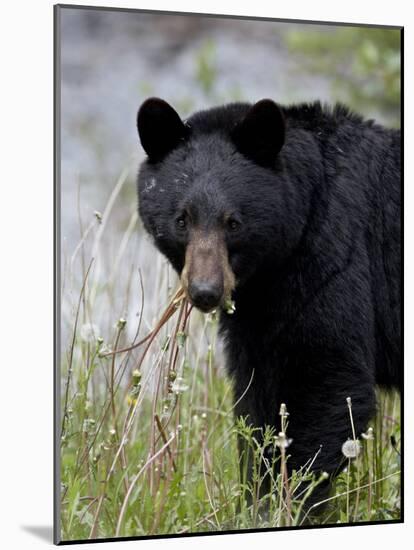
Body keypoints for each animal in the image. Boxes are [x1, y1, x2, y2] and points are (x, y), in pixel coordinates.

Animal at [137, 97, 402, 516]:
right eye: (182, 219)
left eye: (233, 222)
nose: (205, 291)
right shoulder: (259, 309)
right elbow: (257, 397)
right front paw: (256, 497)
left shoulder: (332, 255)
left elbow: (328, 379)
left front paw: (291, 502)